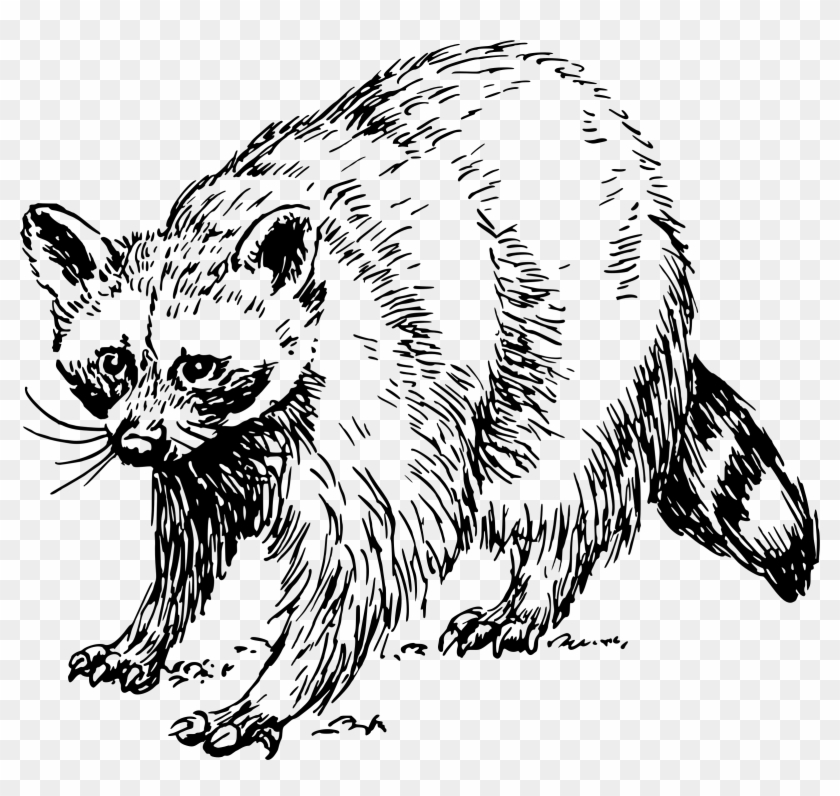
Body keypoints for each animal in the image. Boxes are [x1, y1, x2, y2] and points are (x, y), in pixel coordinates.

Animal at [22, 42, 818, 758]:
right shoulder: (203, 454)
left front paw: (270, 692)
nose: (136, 445)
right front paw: (151, 630)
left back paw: (534, 591)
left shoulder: (379, 402)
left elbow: (358, 563)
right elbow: (188, 541)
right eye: (115, 362)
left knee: (563, 483)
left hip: (578, 351)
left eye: (198, 366)